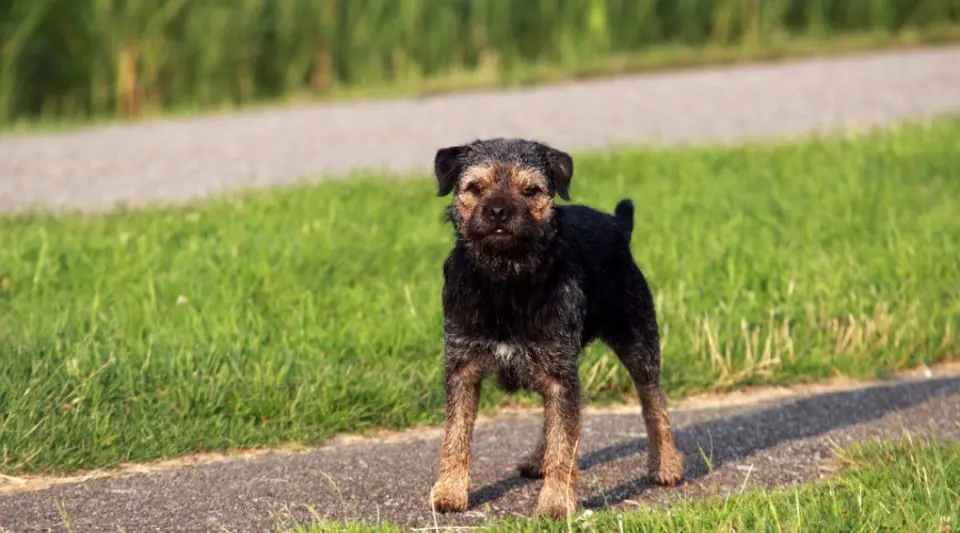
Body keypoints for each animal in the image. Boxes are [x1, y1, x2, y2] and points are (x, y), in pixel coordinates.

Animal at [428, 138, 684, 520]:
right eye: (475, 187)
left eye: (530, 190)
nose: (499, 211)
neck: (506, 280)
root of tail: (618, 225)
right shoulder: (462, 366)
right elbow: (456, 433)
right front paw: (449, 491)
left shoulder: (561, 372)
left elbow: (565, 439)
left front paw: (556, 502)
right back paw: (539, 460)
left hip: (638, 339)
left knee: (653, 399)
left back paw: (665, 464)